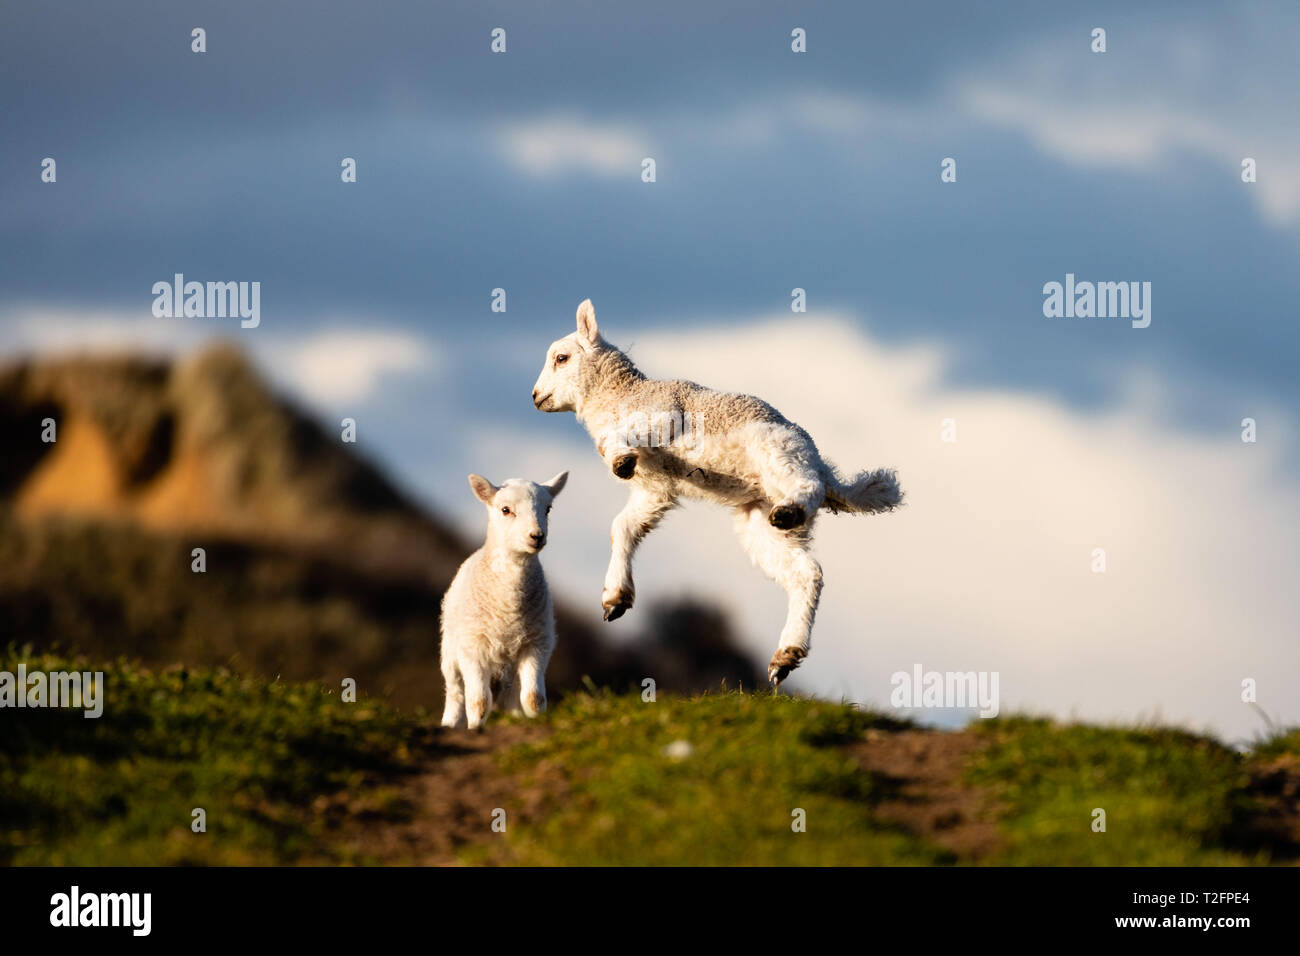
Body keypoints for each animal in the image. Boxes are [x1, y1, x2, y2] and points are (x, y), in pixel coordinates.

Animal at [439, 473, 566, 733]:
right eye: (505, 510)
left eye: (548, 509)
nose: (537, 536)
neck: (509, 611)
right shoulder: (473, 647)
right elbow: (478, 702)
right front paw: (475, 729)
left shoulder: (537, 644)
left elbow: (534, 699)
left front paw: (536, 723)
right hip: (450, 655)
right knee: (456, 693)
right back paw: (449, 724)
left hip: (511, 671)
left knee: (514, 698)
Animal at [533, 303, 899, 686]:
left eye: (561, 358)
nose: (535, 396)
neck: (621, 394)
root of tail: (826, 471)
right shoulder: (654, 489)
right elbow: (623, 527)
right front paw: (615, 599)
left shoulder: (664, 413)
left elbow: (619, 440)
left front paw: (619, 459)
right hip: (759, 520)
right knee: (807, 573)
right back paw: (785, 655)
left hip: (778, 450)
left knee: (807, 491)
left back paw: (792, 511)